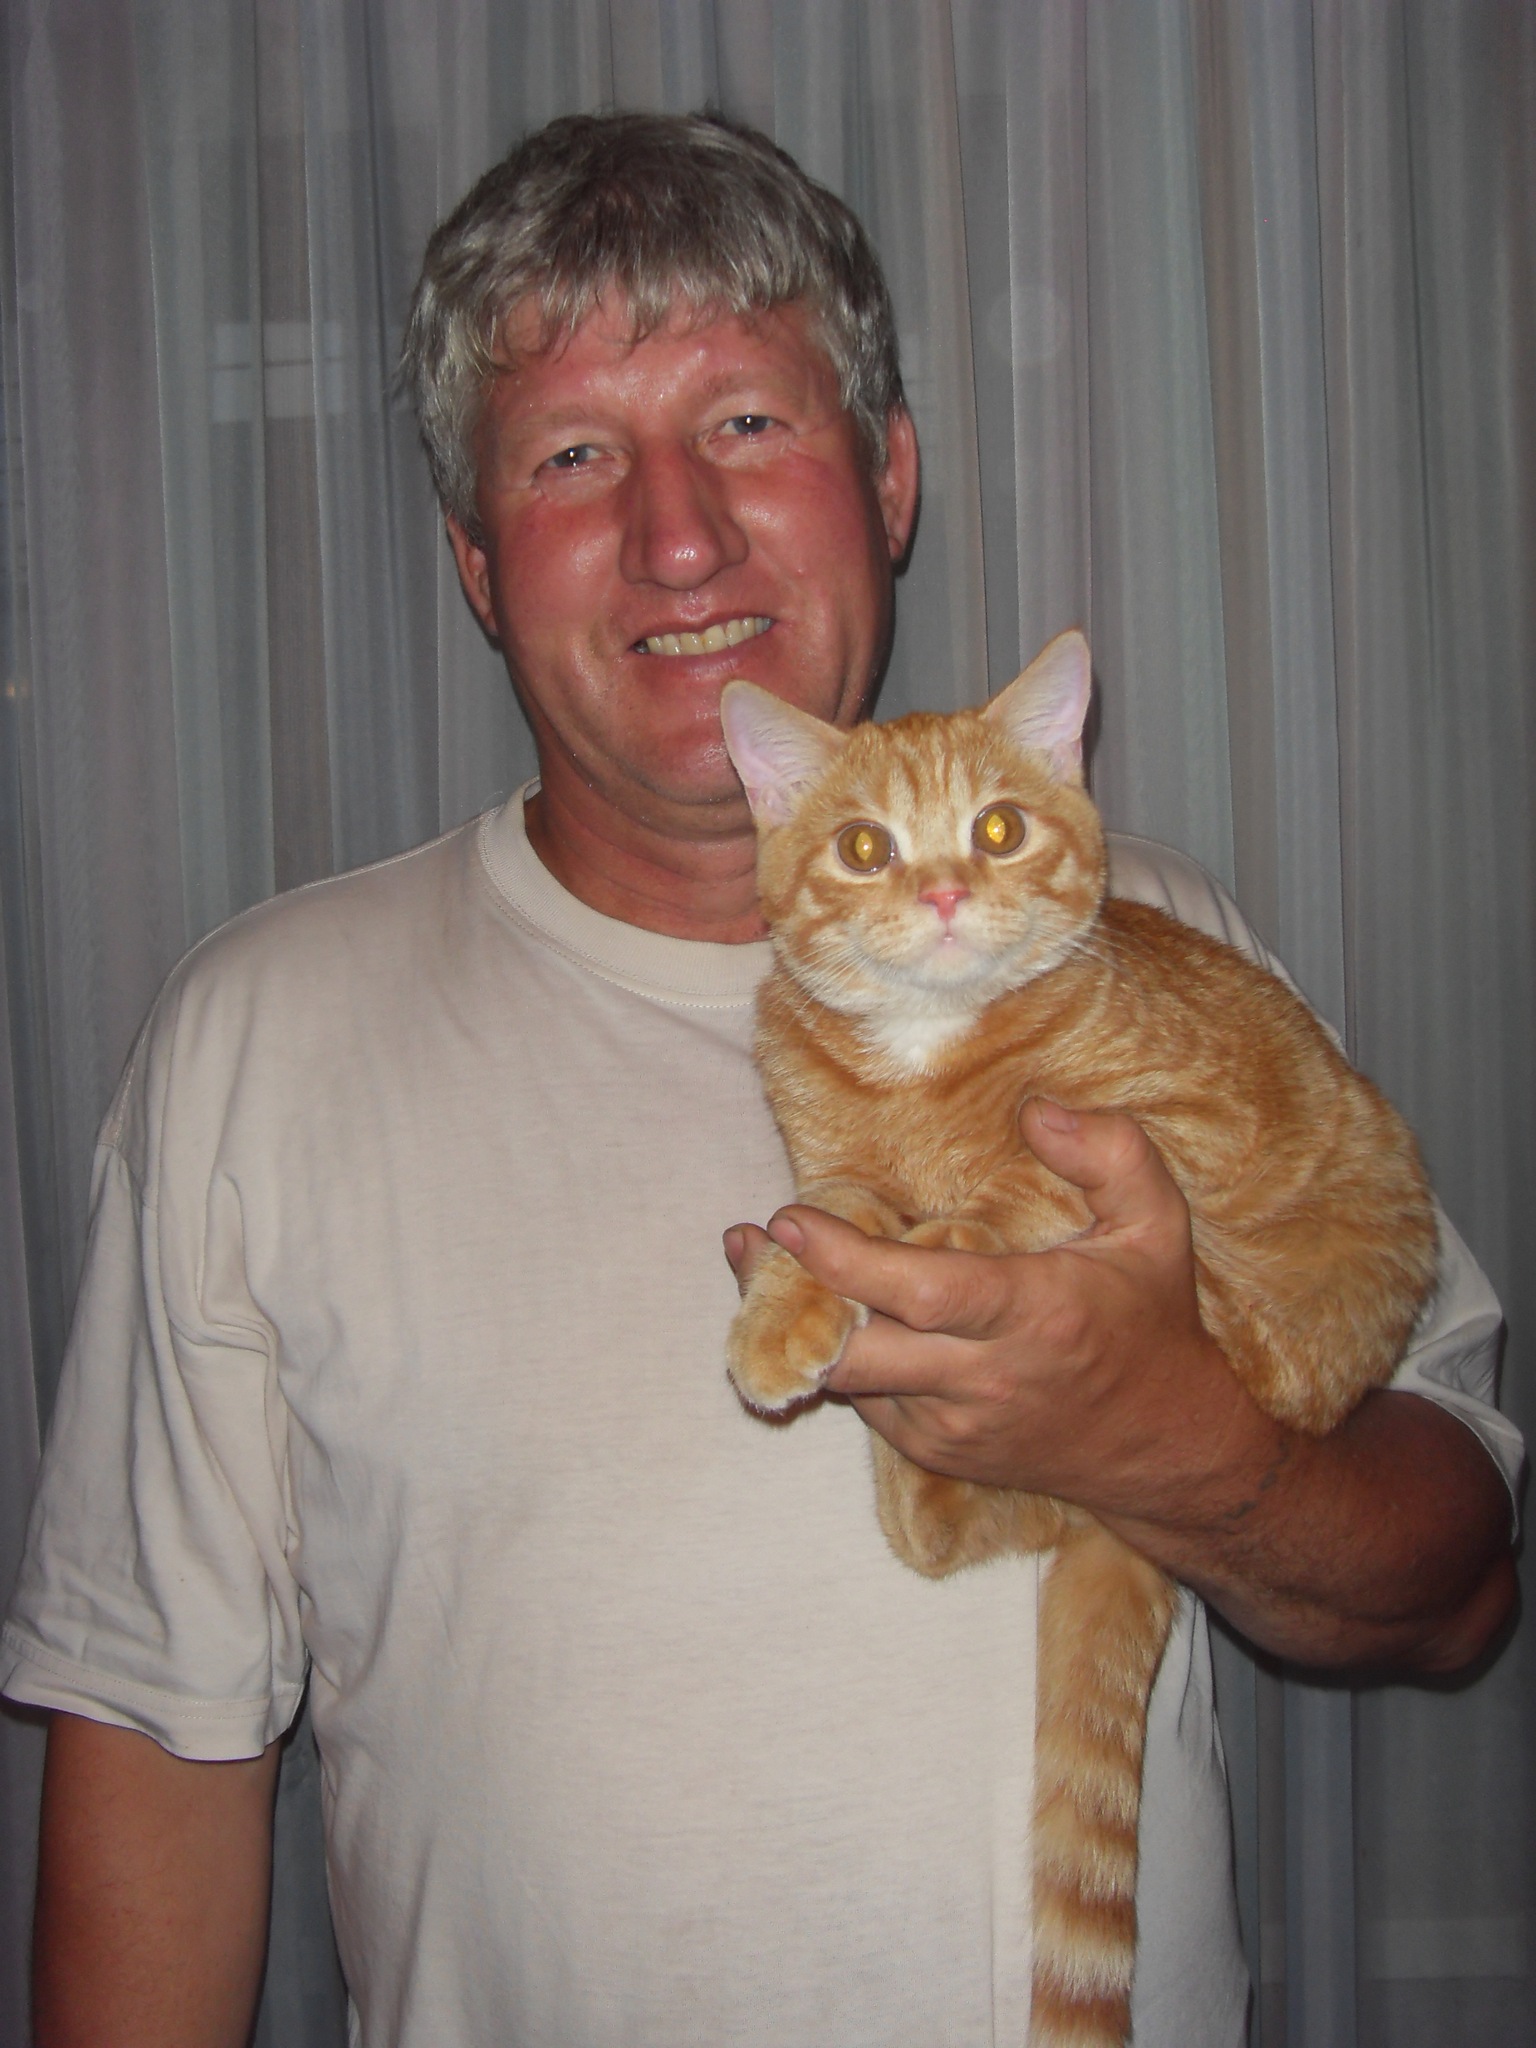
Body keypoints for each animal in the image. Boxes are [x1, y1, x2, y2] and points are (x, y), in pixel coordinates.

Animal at [717, 629, 1438, 2048]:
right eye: (866, 848)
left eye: (998, 828)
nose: (945, 889)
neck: (926, 1057)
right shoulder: (829, 1165)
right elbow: (830, 1212)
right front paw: (786, 1303)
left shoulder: (1181, 1129)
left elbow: (1015, 1194)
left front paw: (939, 1250)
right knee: (950, 1534)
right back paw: (908, 1472)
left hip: (1274, 1331)